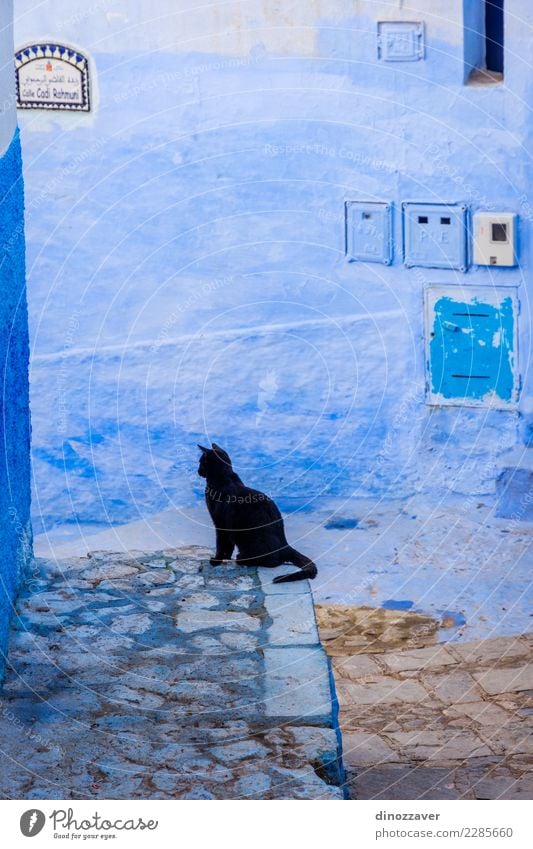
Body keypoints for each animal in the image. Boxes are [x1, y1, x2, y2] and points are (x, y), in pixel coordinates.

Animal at [198, 444, 316, 584]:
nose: (198, 471)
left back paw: (242, 559)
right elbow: (228, 547)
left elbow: (222, 545)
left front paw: (216, 560)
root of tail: (285, 545)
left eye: (200, 462)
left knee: (273, 562)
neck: (224, 478)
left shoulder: (221, 524)